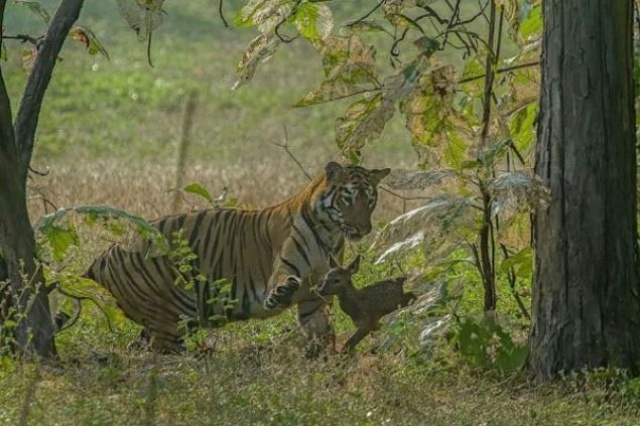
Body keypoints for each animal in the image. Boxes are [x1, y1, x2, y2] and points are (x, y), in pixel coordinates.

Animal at [70, 161, 390, 352]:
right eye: (348, 198)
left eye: (371, 200)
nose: (363, 228)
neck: (330, 233)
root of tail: (102, 256)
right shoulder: (284, 269)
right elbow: (283, 283)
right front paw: (281, 294)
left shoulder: (316, 298)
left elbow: (322, 333)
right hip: (173, 312)